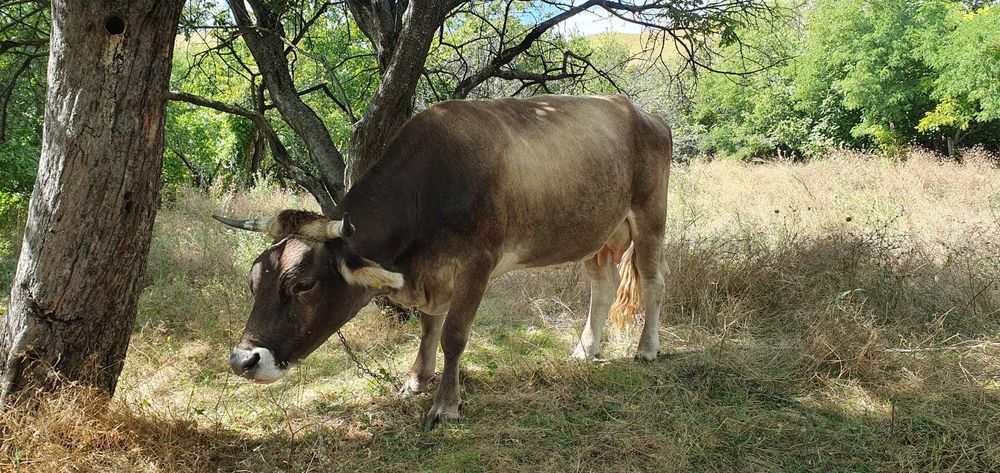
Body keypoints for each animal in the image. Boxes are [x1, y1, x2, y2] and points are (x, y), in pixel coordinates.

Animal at [214, 94, 671, 430]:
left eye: (303, 284)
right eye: (254, 282)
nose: (243, 361)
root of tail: (640, 111)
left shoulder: (477, 263)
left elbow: (454, 335)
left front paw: (446, 404)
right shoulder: (431, 274)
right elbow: (428, 327)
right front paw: (417, 379)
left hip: (650, 217)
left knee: (653, 281)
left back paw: (646, 348)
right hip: (599, 232)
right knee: (603, 284)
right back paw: (585, 349)